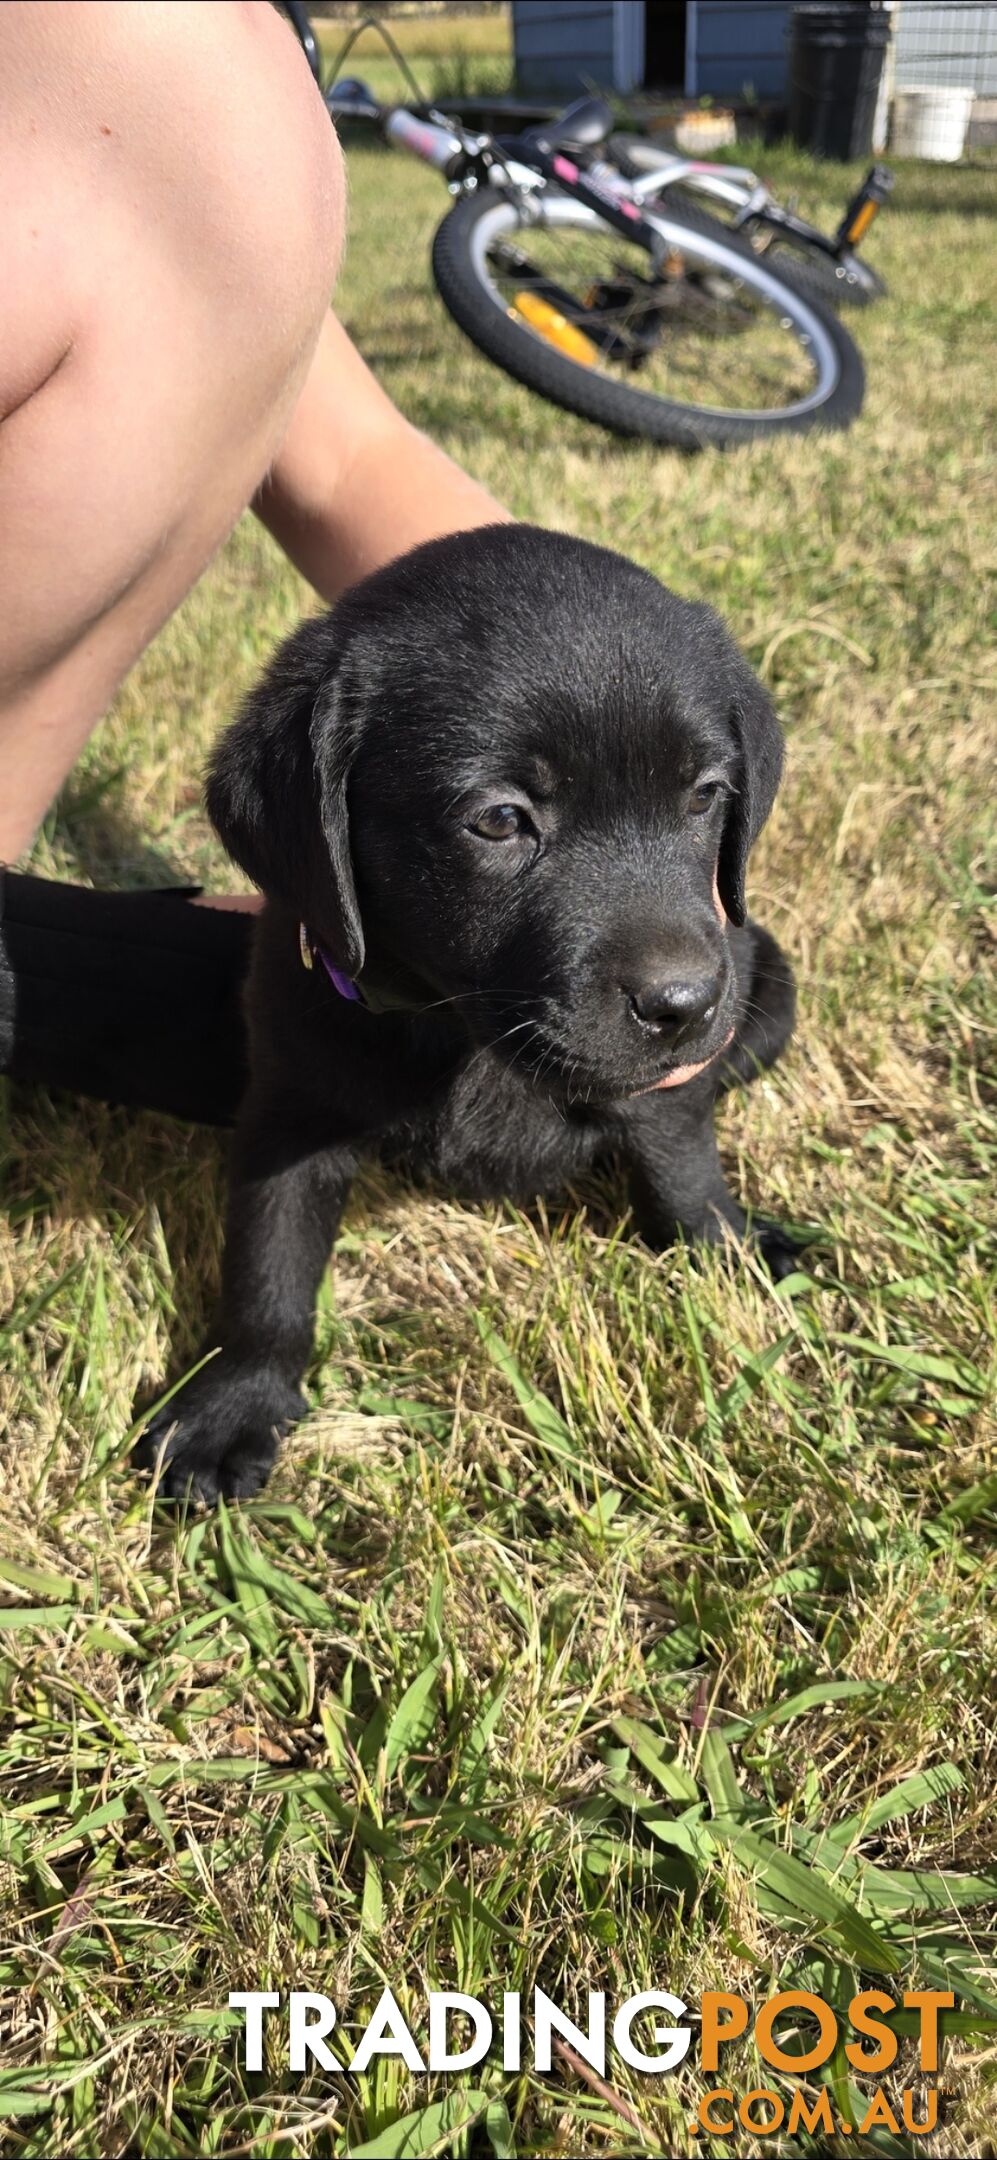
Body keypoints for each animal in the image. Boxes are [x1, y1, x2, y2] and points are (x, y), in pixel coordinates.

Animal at [136, 522, 798, 1503]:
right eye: (498, 819)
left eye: (705, 794)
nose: (683, 1005)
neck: (464, 1033)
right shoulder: (291, 1106)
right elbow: (268, 1265)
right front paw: (232, 1404)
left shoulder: (669, 1079)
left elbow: (683, 1167)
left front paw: (730, 1251)